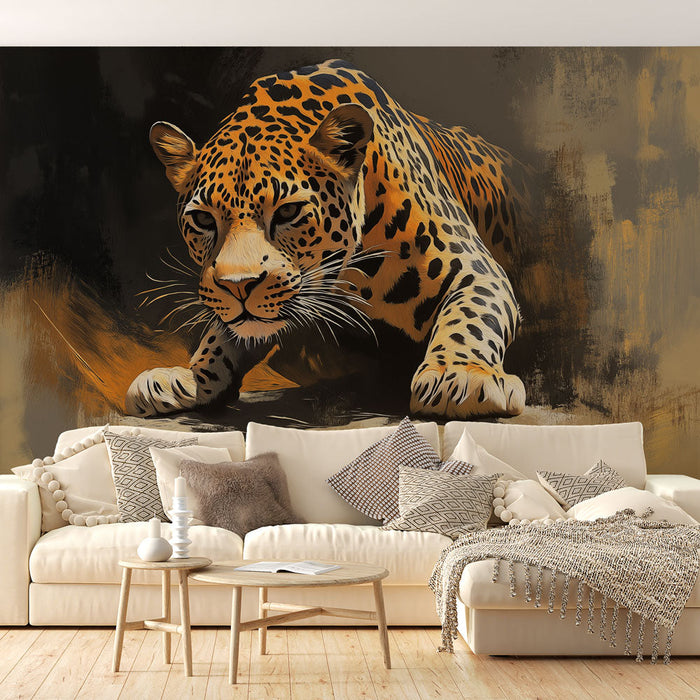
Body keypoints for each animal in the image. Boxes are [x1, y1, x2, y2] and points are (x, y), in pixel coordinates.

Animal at [125, 59, 531, 420]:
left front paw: (458, 375)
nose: (239, 287)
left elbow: (471, 315)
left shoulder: (474, 268)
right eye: (203, 219)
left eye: (288, 212)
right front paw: (191, 377)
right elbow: (222, 330)